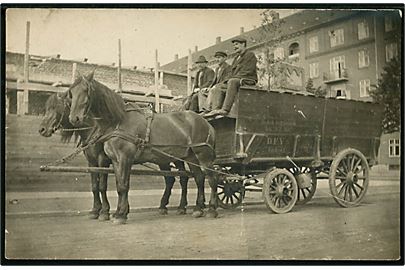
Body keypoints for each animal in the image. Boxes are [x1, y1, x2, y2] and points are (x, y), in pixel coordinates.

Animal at [67, 72, 218, 224]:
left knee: (211, 178)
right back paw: (198, 208)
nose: (74, 118)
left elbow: (123, 186)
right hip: (190, 157)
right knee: (199, 178)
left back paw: (211, 209)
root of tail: (206, 122)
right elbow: (119, 184)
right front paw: (118, 212)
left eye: (86, 90)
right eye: (71, 93)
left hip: (203, 155)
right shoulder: (115, 161)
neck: (118, 122)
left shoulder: (124, 159)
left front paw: (120, 214)